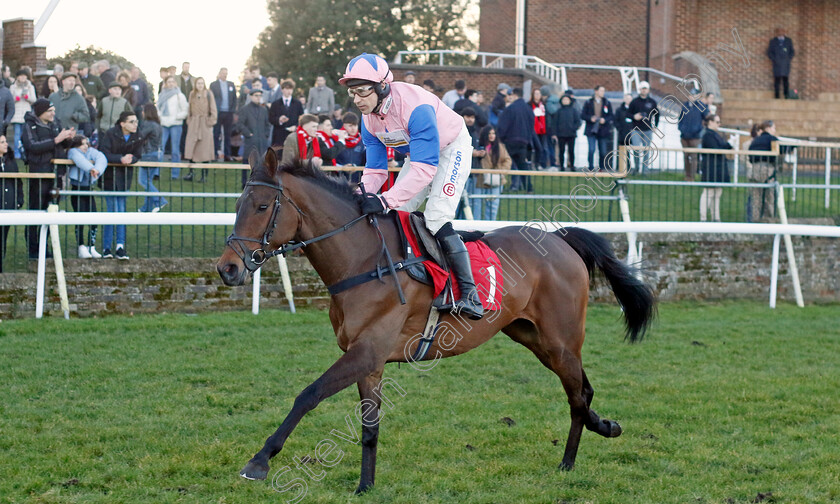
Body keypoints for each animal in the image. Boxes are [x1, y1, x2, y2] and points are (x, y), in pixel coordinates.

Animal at [217, 151, 656, 496]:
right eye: (239, 204)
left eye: (261, 206)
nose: (227, 268)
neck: (364, 262)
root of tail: (560, 238)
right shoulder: (369, 361)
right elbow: (370, 427)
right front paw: (365, 486)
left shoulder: (366, 351)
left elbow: (307, 395)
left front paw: (259, 461)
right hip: (533, 337)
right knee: (585, 389)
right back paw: (606, 427)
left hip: (561, 339)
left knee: (577, 396)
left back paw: (567, 463)